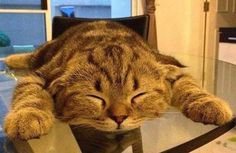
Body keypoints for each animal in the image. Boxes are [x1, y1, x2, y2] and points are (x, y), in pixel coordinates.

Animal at [3, 20, 232, 140]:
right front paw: (28, 115)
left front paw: (207, 102)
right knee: (31, 55)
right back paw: (11, 58)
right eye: (95, 97)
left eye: (139, 95)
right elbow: (30, 93)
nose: (119, 118)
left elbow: (190, 86)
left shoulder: (173, 73)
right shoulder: (41, 75)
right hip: (44, 53)